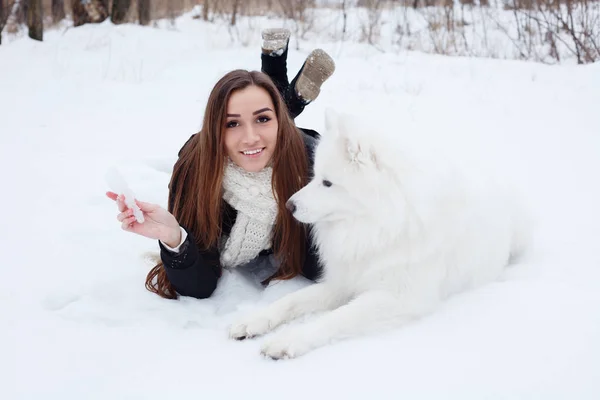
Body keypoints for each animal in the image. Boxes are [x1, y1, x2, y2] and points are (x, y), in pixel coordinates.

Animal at [230, 108, 528, 360]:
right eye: (314, 177)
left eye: (328, 183)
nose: (289, 206)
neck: (375, 227)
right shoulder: (343, 281)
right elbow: (291, 300)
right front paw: (253, 321)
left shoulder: (399, 298)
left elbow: (334, 318)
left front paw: (288, 340)